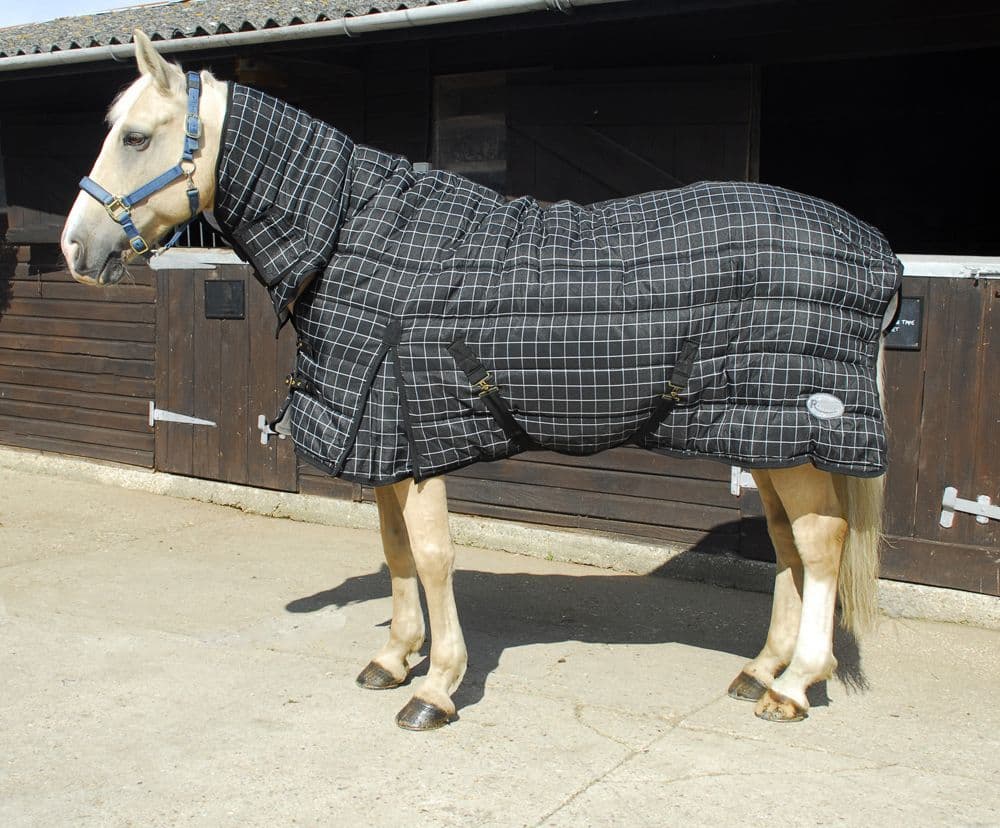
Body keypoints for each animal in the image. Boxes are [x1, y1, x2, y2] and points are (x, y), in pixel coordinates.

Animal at [61, 30, 892, 731]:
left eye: (135, 137)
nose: (74, 247)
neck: (359, 239)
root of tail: (874, 253)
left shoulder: (417, 432)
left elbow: (432, 556)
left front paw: (436, 687)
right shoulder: (386, 439)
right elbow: (396, 549)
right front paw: (395, 657)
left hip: (795, 431)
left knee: (820, 544)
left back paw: (795, 685)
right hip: (770, 436)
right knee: (789, 545)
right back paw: (761, 671)